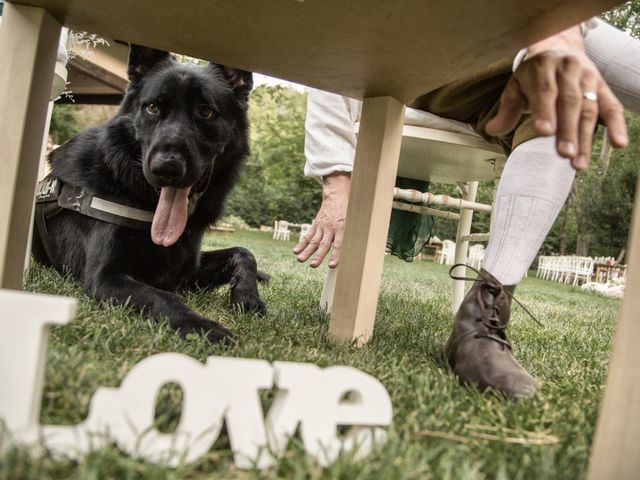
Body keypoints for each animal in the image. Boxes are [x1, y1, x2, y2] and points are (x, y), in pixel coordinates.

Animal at [32, 45, 264, 344]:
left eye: (205, 112)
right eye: (153, 108)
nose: (165, 168)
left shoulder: (184, 273)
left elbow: (244, 252)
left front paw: (247, 296)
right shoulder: (104, 277)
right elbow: (161, 296)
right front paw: (203, 327)